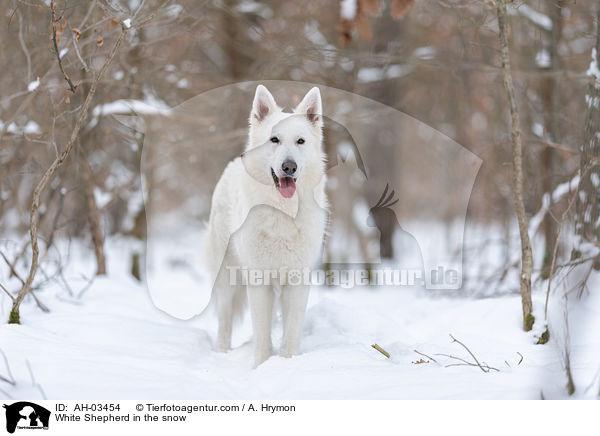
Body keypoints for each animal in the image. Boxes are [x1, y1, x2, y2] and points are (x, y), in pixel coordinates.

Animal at [206, 84, 328, 364]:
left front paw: (287, 362)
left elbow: (291, 332)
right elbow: (261, 334)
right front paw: (261, 365)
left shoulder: (297, 281)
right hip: (227, 276)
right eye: (274, 140)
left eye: (300, 141)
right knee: (225, 318)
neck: (282, 211)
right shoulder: (258, 279)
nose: (289, 167)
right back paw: (221, 352)